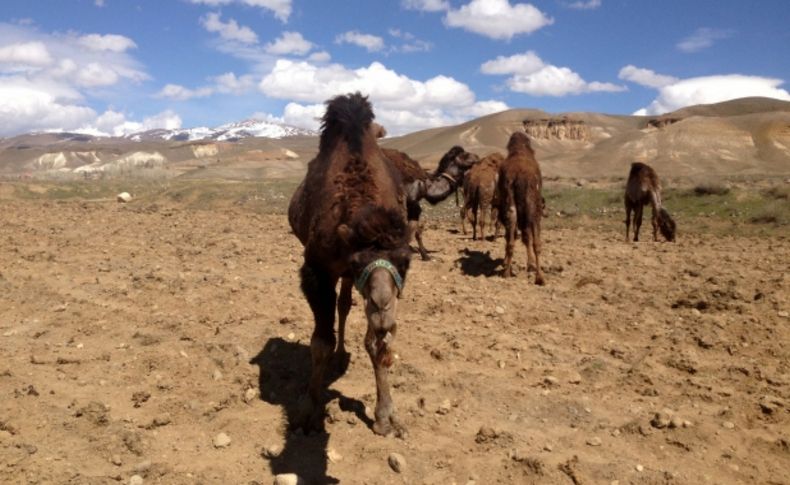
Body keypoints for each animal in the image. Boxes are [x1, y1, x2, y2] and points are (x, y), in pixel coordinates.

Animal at [290, 92, 414, 436]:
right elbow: (320, 343)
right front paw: (308, 410)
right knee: (341, 307)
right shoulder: (317, 271)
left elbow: (380, 345)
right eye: (359, 262)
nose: (383, 308)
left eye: (406, 261)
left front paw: (386, 416)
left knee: (345, 304)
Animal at [502, 130, 544, 286]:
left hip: (512, 206)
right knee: (535, 241)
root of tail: (520, 176)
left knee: (511, 238)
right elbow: (527, 237)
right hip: (533, 208)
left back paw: (506, 272)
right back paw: (540, 277)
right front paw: (530, 265)